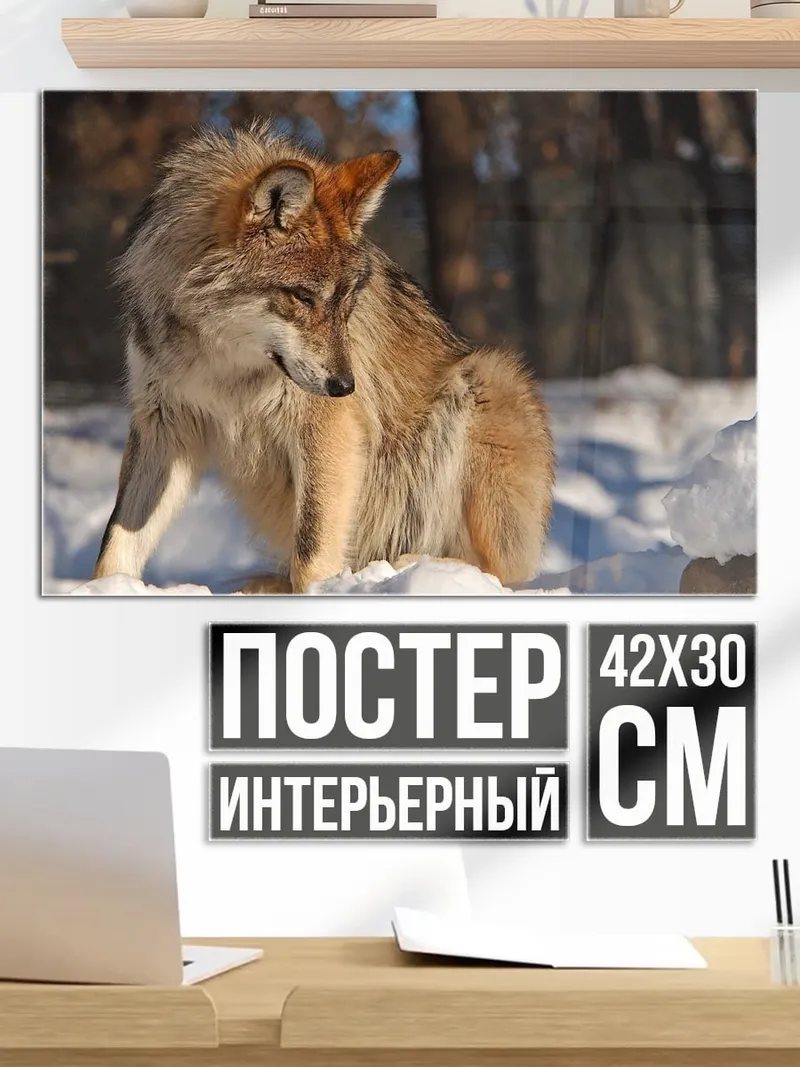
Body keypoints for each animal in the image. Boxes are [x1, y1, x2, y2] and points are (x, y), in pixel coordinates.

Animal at [94, 121, 555, 593]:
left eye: (347, 299)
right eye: (302, 296)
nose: (345, 387)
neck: (221, 360)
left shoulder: (327, 428)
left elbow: (312, 548)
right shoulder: (163, 424)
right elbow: (116, 541)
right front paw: (104, 590)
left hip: (487, 378)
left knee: (496, 571)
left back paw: (414, 567)